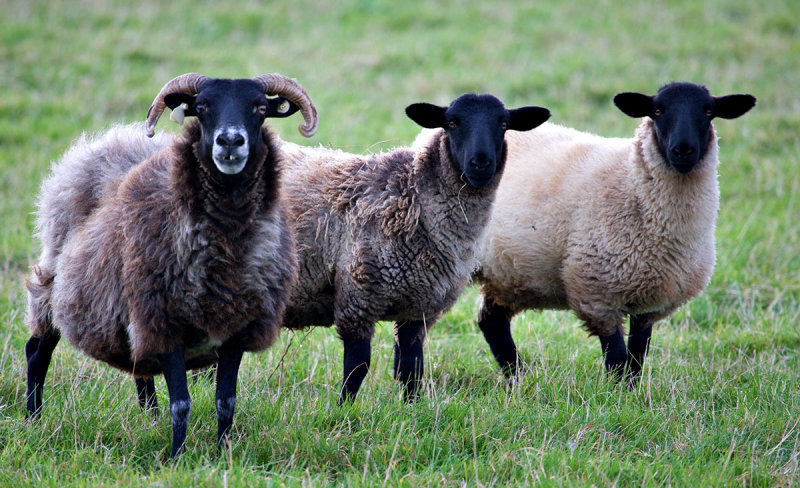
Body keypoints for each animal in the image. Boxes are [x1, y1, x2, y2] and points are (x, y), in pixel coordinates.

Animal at [22, 72, 316, 458]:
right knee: (37, 350)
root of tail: (110, 140)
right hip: (55, 280)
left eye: (260, 108)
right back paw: (33, 419)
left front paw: (223, 454)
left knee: (139, 368)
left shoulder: (237, 327)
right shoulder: (164, 322)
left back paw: (149, 420)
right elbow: (182, 403)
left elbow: (226, 401)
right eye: (202, 107)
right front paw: (177, 456)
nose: (230, 141)